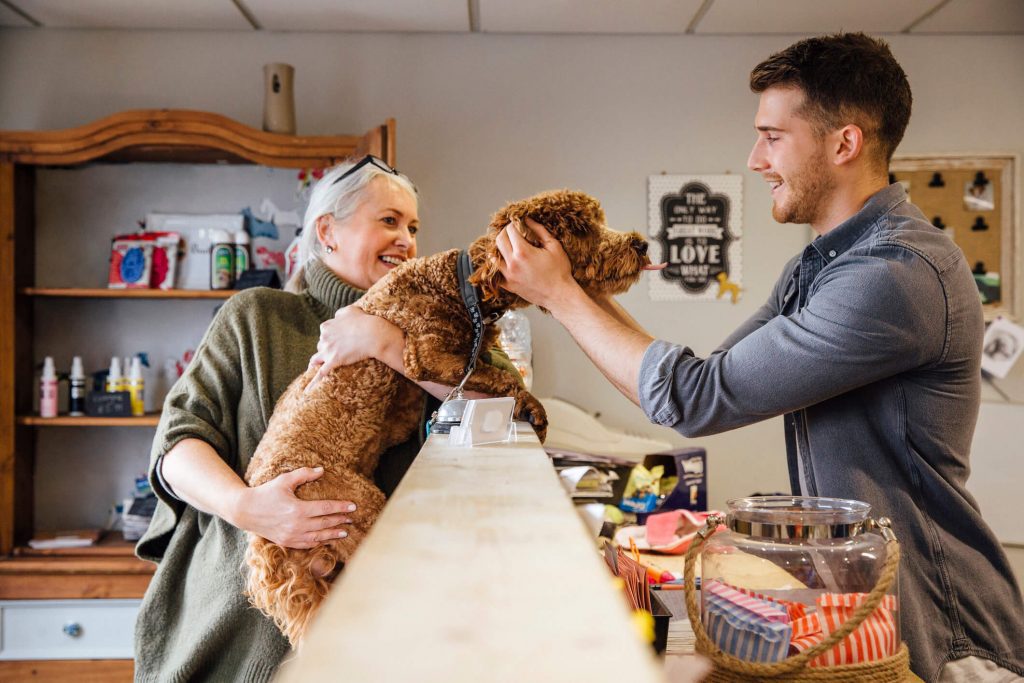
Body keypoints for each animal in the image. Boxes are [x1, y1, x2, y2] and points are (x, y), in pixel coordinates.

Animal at [243, 188, 651, 647]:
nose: (641, 244)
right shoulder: (426, 354)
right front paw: (535, 409)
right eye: (581, 227)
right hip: (354, 508)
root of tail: (266, 541)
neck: (461, 285)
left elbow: (493, 372)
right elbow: (500, 377)